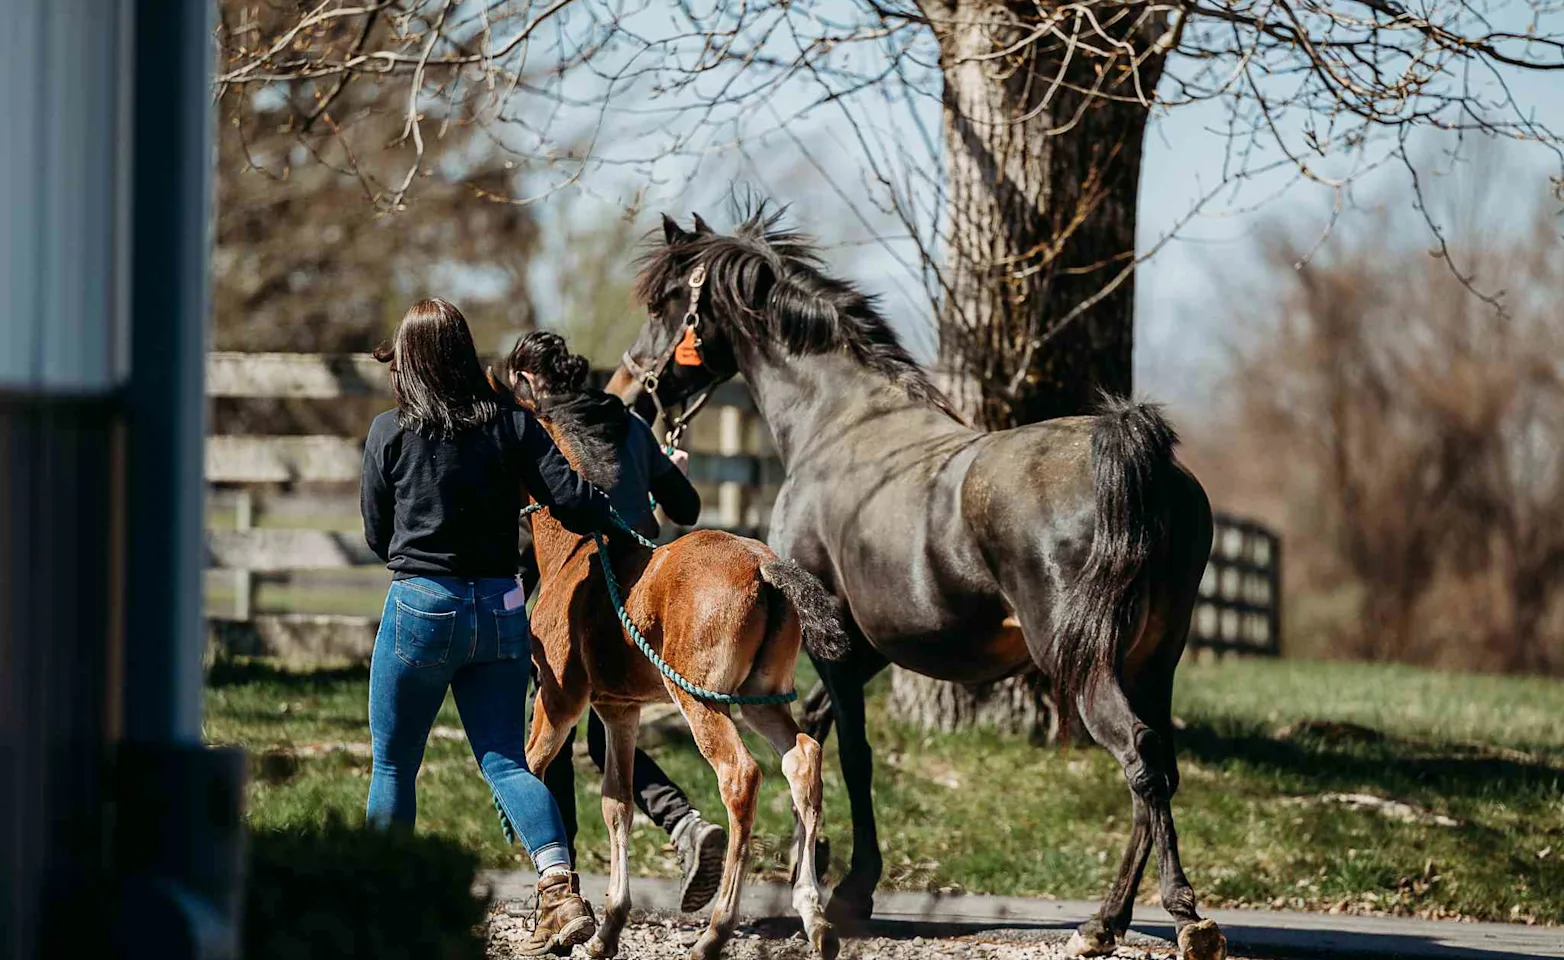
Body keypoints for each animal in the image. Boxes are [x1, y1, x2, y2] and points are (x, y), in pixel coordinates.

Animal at [607, 208, 1227, 960]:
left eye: (663, 304)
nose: (627, 391)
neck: (838, 423)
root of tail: (1137, 455)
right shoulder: (870, 645)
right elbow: (816, 729)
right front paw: (813, 863)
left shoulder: (837, 644)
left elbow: (852, 753)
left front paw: (849, 891)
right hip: (1153, 663)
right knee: (1159, 762)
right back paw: (1165, 915)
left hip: (1085, 666)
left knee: (1137, 756)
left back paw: (1116, 922)